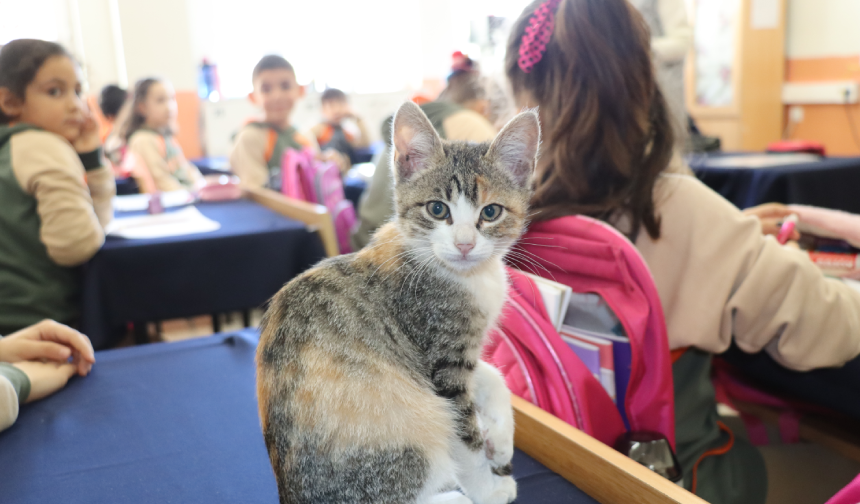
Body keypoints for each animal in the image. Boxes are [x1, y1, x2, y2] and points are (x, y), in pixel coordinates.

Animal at [255, 100, 540, 502]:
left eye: (491, 212)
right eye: (437, 209)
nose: (465, 244)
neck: (465, 276)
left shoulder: (458, 355)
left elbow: (491, 372)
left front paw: (500, 439)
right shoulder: (440, 359)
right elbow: (463, 436)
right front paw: (488, 487)